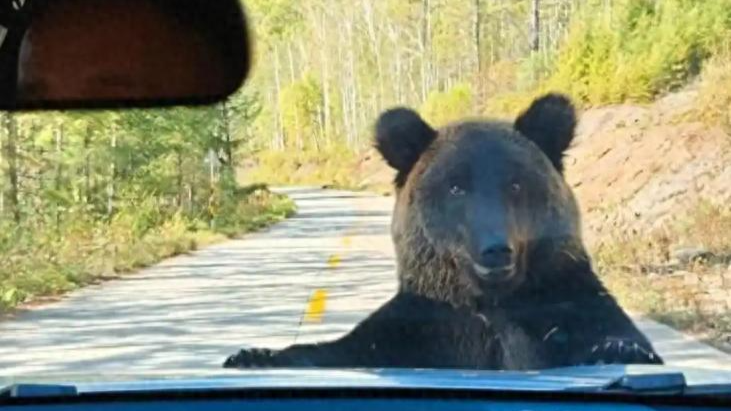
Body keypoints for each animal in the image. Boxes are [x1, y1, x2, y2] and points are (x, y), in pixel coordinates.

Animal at [223, 93, 662, 370]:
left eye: (516, 184)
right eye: (456, 186)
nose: (495, 249)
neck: (490, 303)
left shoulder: (565, 303)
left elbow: (612, 334)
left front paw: (619, 348)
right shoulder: (423, 327)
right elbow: (344, 349)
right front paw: (252, 354)